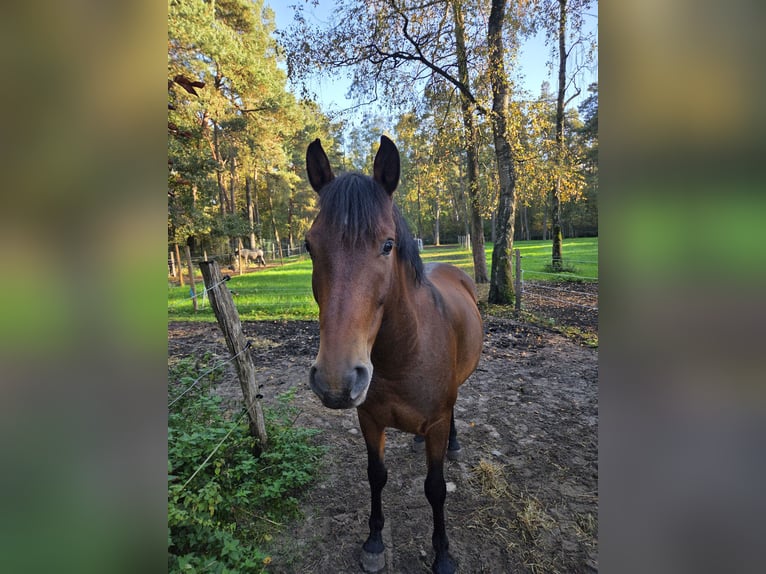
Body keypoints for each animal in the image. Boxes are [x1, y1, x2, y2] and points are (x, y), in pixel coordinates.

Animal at [305, 135, 483, 574]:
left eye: (387, 245)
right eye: (308, 246)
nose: (336, 379)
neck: (404, 355)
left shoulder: (436, 423)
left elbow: (435, 488)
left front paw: (443, 554)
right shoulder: (369, 420)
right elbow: (376, 475)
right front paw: (373, 543)